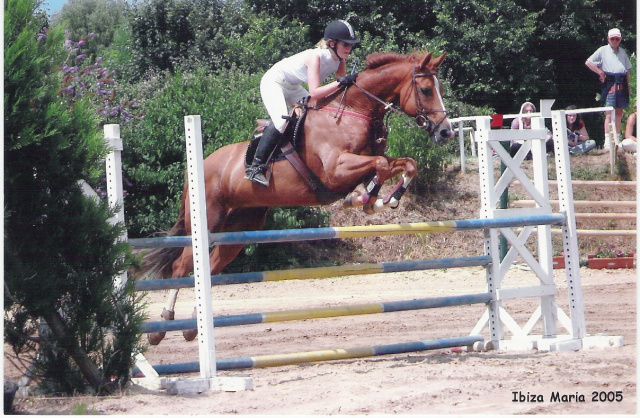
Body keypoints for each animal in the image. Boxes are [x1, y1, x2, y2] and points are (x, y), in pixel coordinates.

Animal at [144, 52, 456, 344]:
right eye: (426, 90)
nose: (446, 132)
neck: (354, 111)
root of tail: (200, 166)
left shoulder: (364, 163)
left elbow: (403, 164)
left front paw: (377, 200)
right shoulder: (335, 170)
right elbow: (380, 164)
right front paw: (366, 199)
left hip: (241, 226)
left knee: (211, 267)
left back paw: (191, 328)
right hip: (208, 220)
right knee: (183, 266)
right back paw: (161, 327)